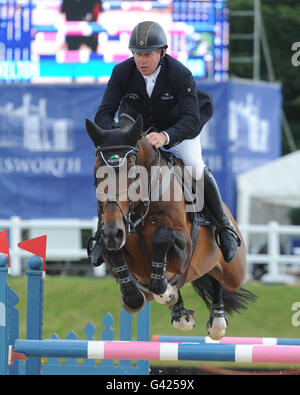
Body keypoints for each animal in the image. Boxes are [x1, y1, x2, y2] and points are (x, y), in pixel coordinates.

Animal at [85, 113, 255, 340]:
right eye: (97, 173)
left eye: (133, 173)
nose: (114, 233)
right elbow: (111, 253)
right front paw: (134, 296)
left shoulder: (184, 250)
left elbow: (162, 236)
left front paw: (162, 288)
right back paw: (180, 311)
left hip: (234, 272)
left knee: (218, 278)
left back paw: (216, 317)